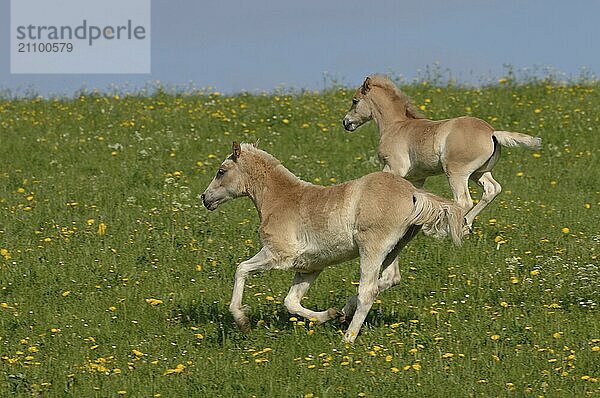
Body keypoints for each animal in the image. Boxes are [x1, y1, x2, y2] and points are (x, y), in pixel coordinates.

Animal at [203, 142, 464, 342]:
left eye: (221, 171)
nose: (204, 198)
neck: (280, 200)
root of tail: (413, 192)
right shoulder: (309, 267)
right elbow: (291, 302)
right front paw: (329, 314)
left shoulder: (278, 254)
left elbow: (241, 269)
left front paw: (242, 321)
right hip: (395, 248)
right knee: (390, 279)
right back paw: (345, 311)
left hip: (371, 248)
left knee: (368, 291)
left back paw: (347, 338)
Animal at [342, 75, 544, 230]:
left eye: (355, 101)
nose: (346, 122)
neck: (396, 126)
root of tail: (492, 133)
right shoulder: (417, 177)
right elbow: (416, 198)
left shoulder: (394, 168)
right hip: (479, 172)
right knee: (492, 189)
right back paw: (466, 225)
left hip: (456, 172)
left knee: (463, 201)